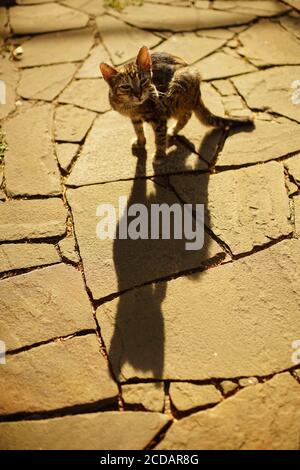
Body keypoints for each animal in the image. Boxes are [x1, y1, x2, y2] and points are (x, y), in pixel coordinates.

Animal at [99, 46, 252, 163]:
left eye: (143, 81)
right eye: (125, 87)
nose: (138, 94)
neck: (132, 107)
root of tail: (197, 92)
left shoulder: (158, 117)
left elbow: (159, 139)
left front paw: (160, 156)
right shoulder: (134, 118)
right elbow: (138, 129)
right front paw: (141, 141)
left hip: (178, 84)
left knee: (186, 114)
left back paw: (172, 131)